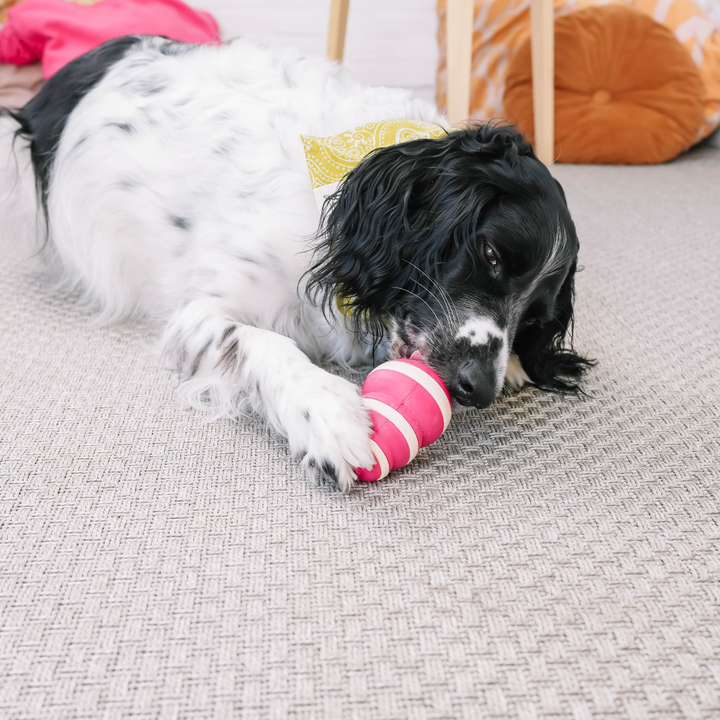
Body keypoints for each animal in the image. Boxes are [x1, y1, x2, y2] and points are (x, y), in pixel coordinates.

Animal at [1, 38, 592, 490]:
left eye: (535, 319)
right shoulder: (200, 313)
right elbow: (264, 342)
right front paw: (326, 414)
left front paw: (515, 363)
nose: (478, 389)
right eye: (490, 255)